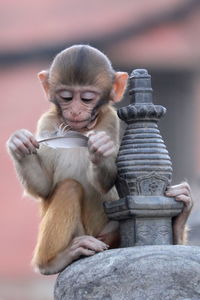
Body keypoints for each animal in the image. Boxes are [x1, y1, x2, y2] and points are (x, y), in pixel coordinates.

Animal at [7, 44, 193, 274]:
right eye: (67, 97)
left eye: (87, 98)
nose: (75, 110)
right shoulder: (47, 123)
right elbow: (43, 187)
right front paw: (19, 145)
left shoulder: (109, 120)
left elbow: (106, 181)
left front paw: (100, 148)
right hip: (85, 234)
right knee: (69, 187)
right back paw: (53, 261)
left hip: (106, 237)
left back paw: (179, 222)